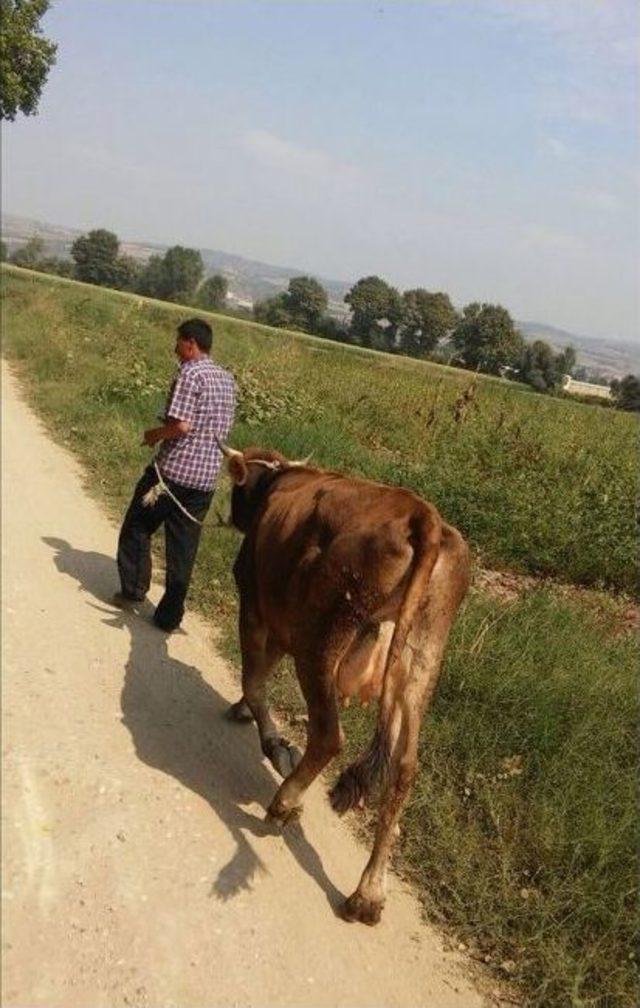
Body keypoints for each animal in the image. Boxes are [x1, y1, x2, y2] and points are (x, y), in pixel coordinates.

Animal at [220, 445, 471, 923]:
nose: (232, 515)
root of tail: (421, 514)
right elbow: (257, 677)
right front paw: (244, 711)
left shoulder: (258, 607)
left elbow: (255, 678)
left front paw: (271, 740)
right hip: (421, 662)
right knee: (404, 769)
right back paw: (368, 893)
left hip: (320, 642)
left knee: (328, 737)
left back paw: (285, 802)